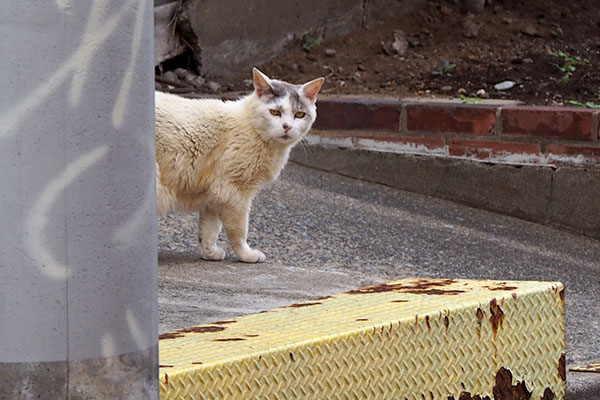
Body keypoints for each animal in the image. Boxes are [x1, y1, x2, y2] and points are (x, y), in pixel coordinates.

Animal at [155, 68, 324, 262]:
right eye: (274, 112)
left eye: (299, 115)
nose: (287, 127)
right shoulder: (234, 193)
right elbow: (239, 230)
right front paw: (246, 254)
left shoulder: (214, 194)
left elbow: (209, 229)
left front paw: (210, 253)